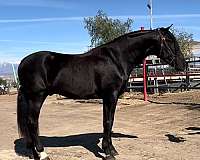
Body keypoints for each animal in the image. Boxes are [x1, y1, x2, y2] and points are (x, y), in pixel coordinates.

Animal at [17, 25, 186, 159]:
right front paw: (108, 152)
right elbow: (107, 122)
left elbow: (110, 121)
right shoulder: (110, 95)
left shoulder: (110, 97)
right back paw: (42, 154)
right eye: (169, 40)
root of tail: (22, 62)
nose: (182, 64)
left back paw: (33, 153)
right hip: (37, 96)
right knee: (32, 122)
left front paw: (111, 149)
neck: (116, 59)